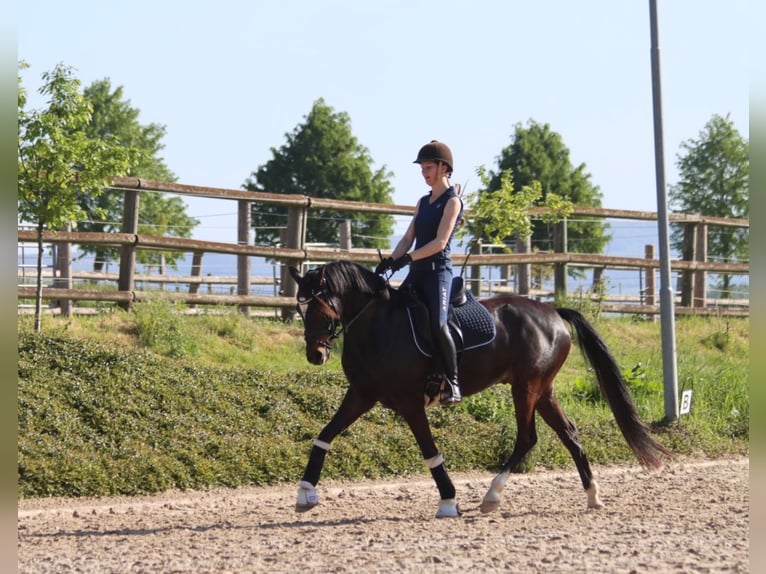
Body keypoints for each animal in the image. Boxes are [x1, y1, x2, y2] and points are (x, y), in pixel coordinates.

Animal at [288, 258, 672, 520]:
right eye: (300, 308)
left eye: (320, 307)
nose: (315, 355)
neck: (378, 326)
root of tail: (552, 312)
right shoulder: (361, 395)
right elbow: (325, 435)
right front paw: (305, 493)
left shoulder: (410, 403)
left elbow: (430, 452)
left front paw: (448, 500)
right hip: (543, 390)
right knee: (570, 434)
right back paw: (592, 496)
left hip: (526, 387)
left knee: (527, 438)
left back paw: (492, 495)